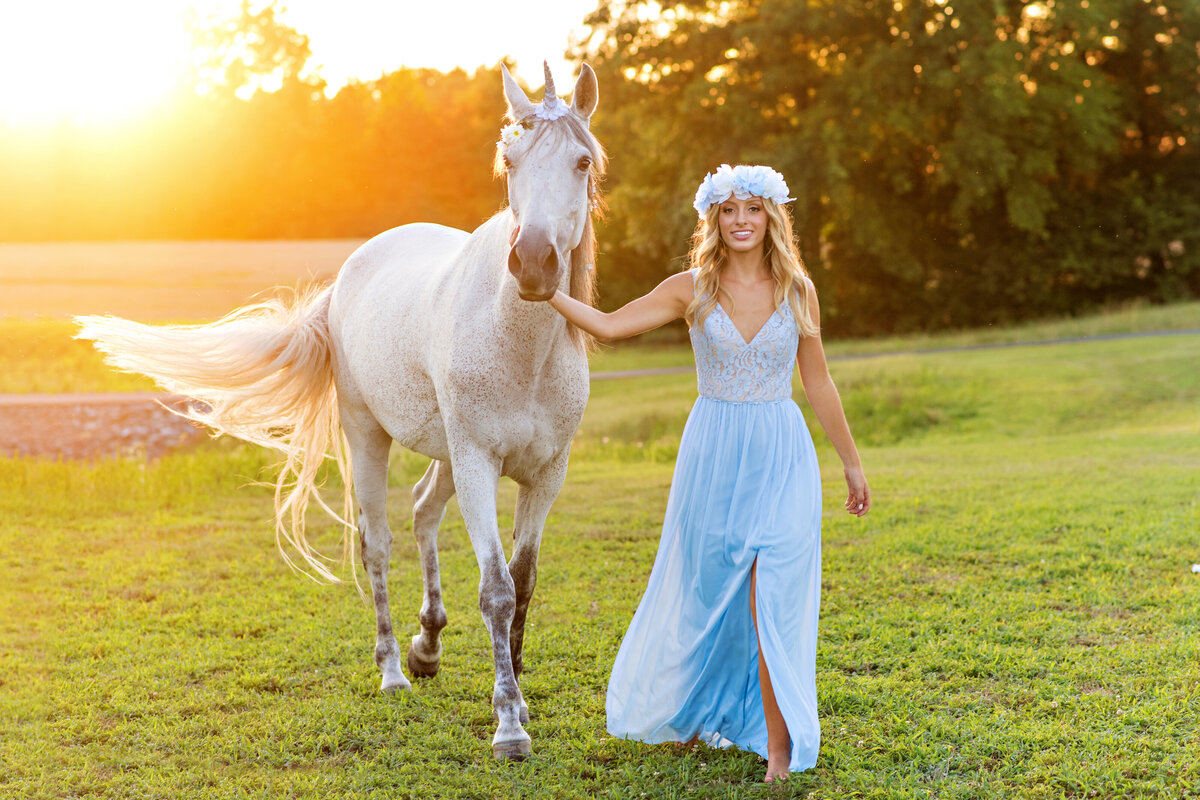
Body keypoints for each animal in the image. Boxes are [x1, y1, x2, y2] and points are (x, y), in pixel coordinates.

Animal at [77, 62, 609, 758]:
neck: (522, 347)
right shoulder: (477, 463)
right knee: (377, 544)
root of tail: (351, 271)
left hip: (444, 451)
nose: (535, 263)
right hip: (371, 436)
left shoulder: (546, 474)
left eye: (582, 161)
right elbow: (495, 590)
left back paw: (427, 647)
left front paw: (516, 689)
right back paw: (394, 669)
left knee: (422, 513)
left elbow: (523, 584)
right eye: (509, 161)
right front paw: (509, 724)